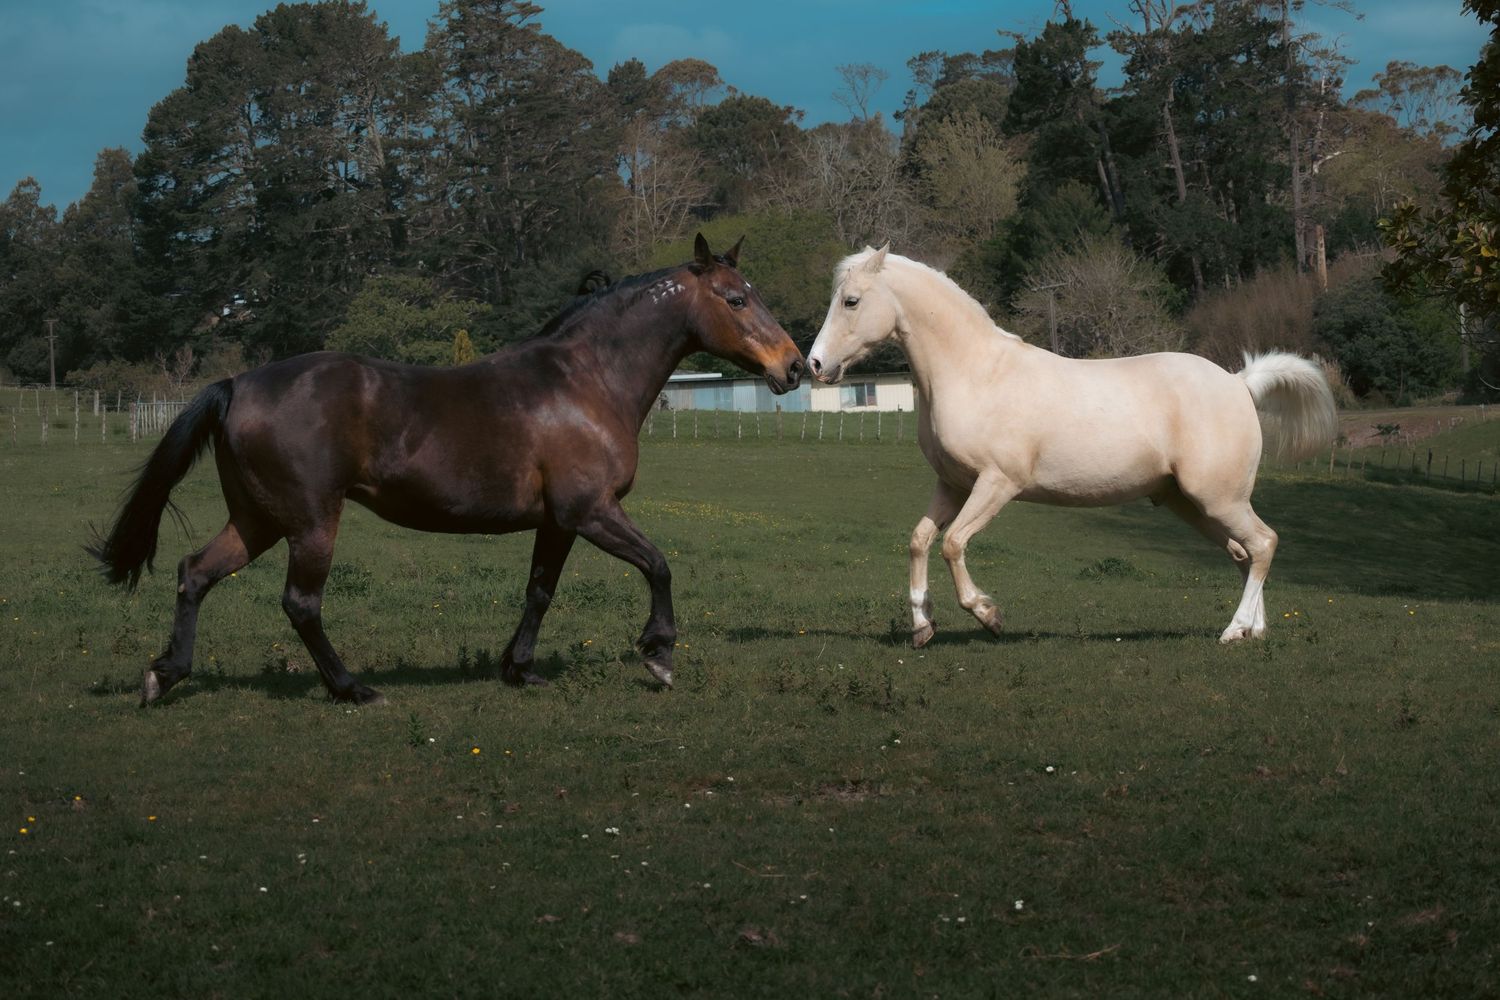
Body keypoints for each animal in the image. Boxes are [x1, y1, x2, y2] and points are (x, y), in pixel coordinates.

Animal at [90, 234, 804, 705]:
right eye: (737, 300)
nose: (795, 366)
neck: (586, 381)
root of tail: (239, 385)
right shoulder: (592, 511)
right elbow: (658, 565)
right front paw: (659, 654)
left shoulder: (557, 522)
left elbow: (539, 591)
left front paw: (519, 667)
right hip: (311, 522)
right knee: (301, 603)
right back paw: (351, 689)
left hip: (258, 519)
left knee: (194, 574)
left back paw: (164, 674)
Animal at [806, 245, 1336, 647]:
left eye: (850, 301)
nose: (814, 365)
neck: (975, 373)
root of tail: (1239, 383)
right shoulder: (952, 485)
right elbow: (920, 540)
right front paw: (921, 626)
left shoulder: (998, 483)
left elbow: (953, 544)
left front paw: (989, 615)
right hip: (1190, 503)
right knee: (1245, 554)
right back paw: (1254, 632)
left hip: (1218, 498)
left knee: (1263, 543)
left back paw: (1235, 630)